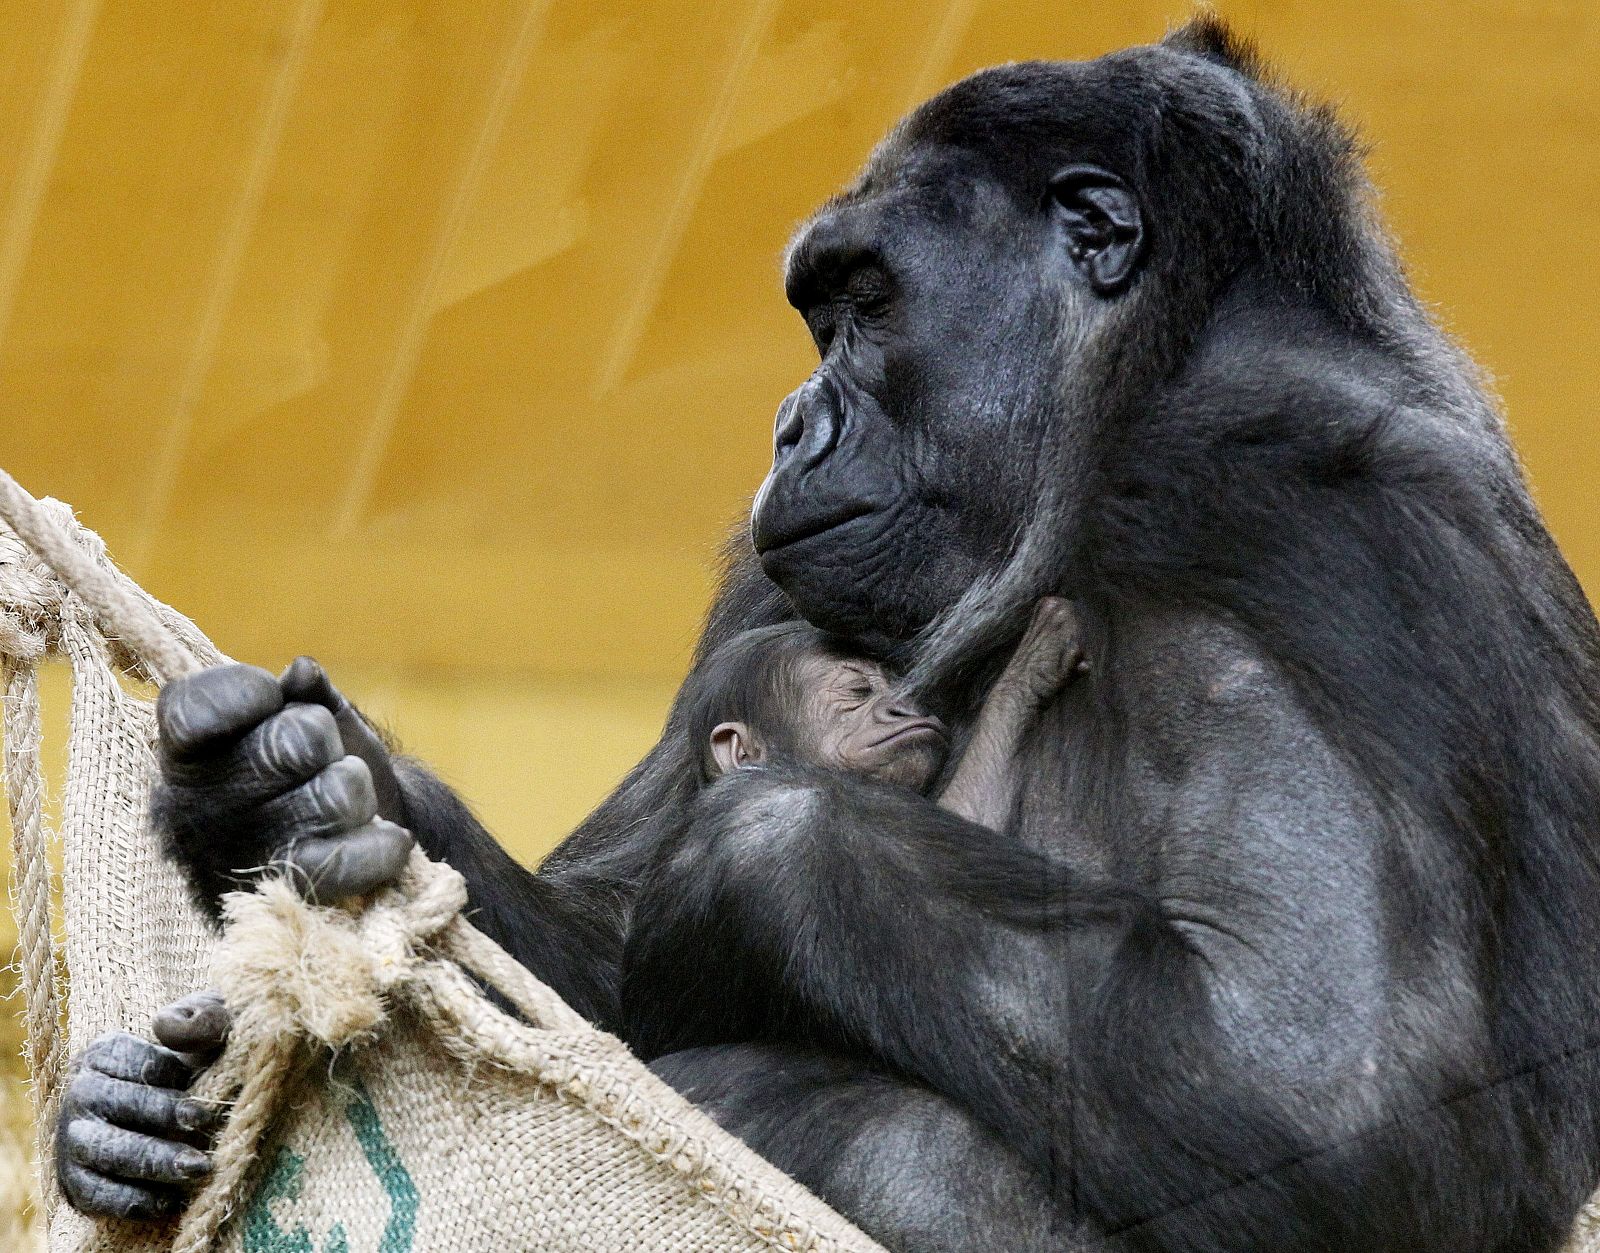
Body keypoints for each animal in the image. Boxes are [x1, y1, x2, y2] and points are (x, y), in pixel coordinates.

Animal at [46, 17, 1600, 1253]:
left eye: (862, 303)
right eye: (817, 313)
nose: (791, 426)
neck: (1139, 377)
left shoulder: (1289, 488)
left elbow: (1329, 1078)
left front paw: (744, 852)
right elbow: (598, 987)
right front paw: (280, 789)